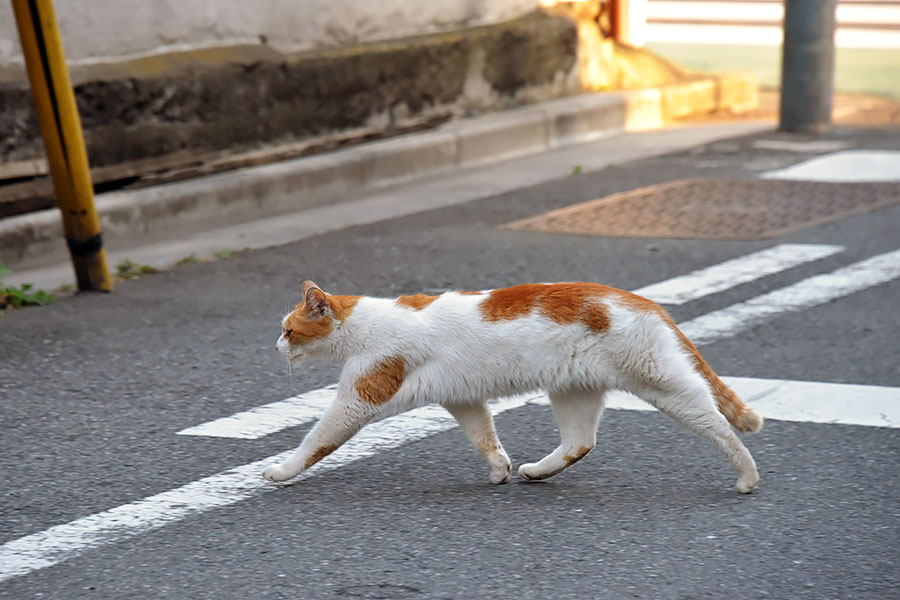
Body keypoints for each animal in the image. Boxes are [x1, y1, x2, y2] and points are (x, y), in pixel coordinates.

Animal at [264, 278, 764, 490]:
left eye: (289, 330)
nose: (275, 345)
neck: (364, 323)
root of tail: (645, 302)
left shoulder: (358, 397)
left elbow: (316, 440)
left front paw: (282, 471)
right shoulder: (464, 399)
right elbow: (484, 437)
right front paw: (499, 470)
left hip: (663, 383)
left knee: (718, 424)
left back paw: (747, 476)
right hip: (572, 391)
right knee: (580, 442)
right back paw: (537, 471)